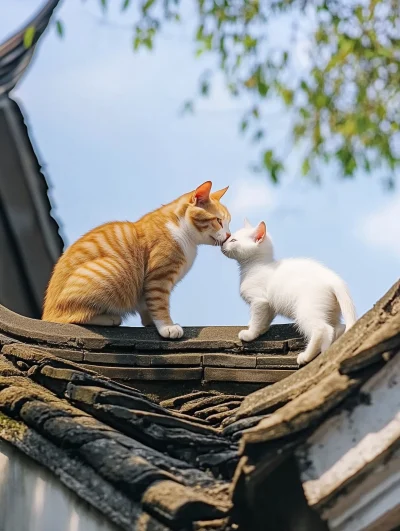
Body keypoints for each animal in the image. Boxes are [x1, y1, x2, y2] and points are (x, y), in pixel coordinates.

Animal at [42, 182, 230, 340]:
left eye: (229, 223)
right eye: (219, 221)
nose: (229, 235)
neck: (181, 230)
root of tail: (47, 311)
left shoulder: (148, 288)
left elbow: (148, 305)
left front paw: (151, 322)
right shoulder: (158, 278)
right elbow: (160, 304)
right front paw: (167, 327)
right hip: (113, 270)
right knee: (68, 318)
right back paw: (109, 318)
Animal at [222, 220, 356, 366]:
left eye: (233, 240)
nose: (222, 243)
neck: (255, 266)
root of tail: (334, 279)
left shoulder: (259, 300)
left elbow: (257, 318)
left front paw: (250, 334)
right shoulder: (269, 304)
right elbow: (264, 319)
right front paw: (260, 328)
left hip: (306, 308)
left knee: (322, 329)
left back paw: (306, 356)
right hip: (330, 310)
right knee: (337, 327)